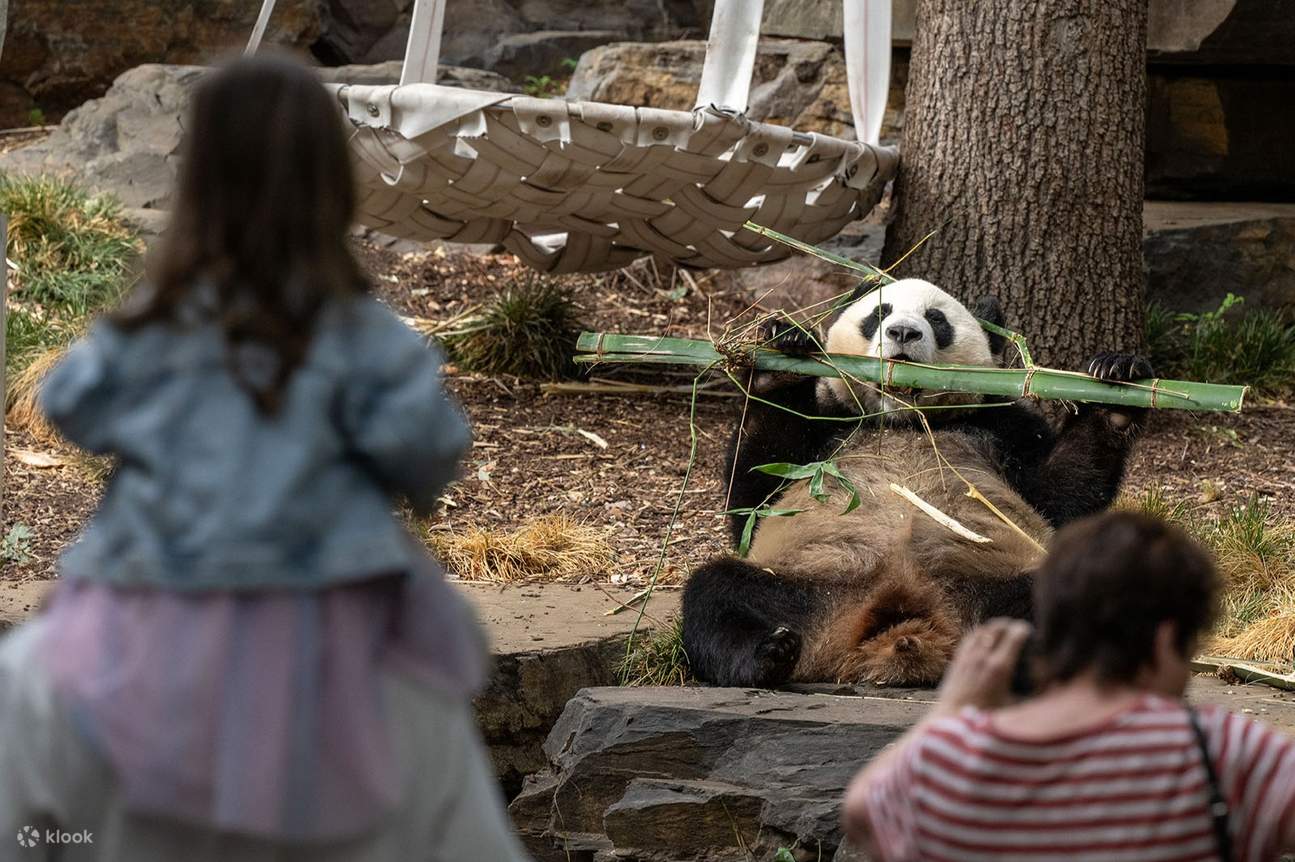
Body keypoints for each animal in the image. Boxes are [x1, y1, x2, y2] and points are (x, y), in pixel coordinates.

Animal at [681, 278, 1153, 688]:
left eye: (936, 318)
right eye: (879, 312)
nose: (903, 332)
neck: (904, 419)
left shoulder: (1002, 425)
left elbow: (1058, 498)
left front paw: (1118, 386)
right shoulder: (830, 426)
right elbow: (755, 498)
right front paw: (781, 358)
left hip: (989, 584)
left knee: (1063, 598)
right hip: (807, 587)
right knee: (719, 592)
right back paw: (768, 654)